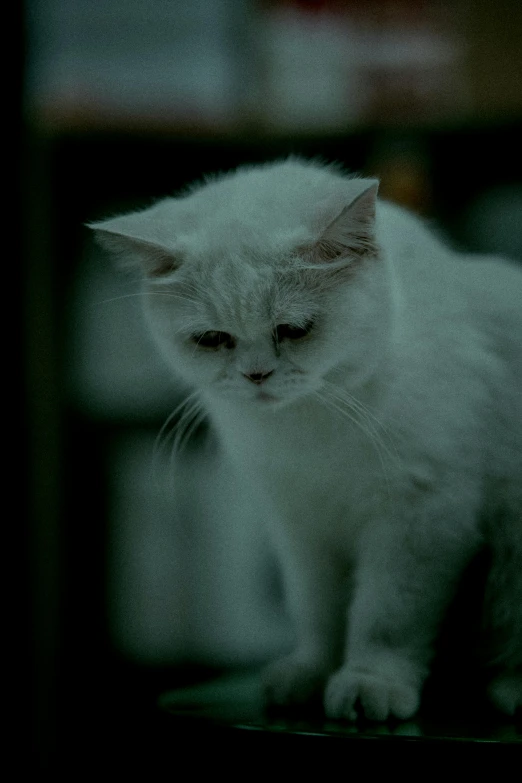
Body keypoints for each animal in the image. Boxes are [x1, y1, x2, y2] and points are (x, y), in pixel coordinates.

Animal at [90, 156, 520, 720]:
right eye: (212, 339)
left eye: (293, 330)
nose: (256, 376)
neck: (308, 428)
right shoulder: (303, 530)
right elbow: (320, 612)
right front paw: (311, 674)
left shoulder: (421, 519)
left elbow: (387, 616)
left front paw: (369, 682)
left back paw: (509, 689)